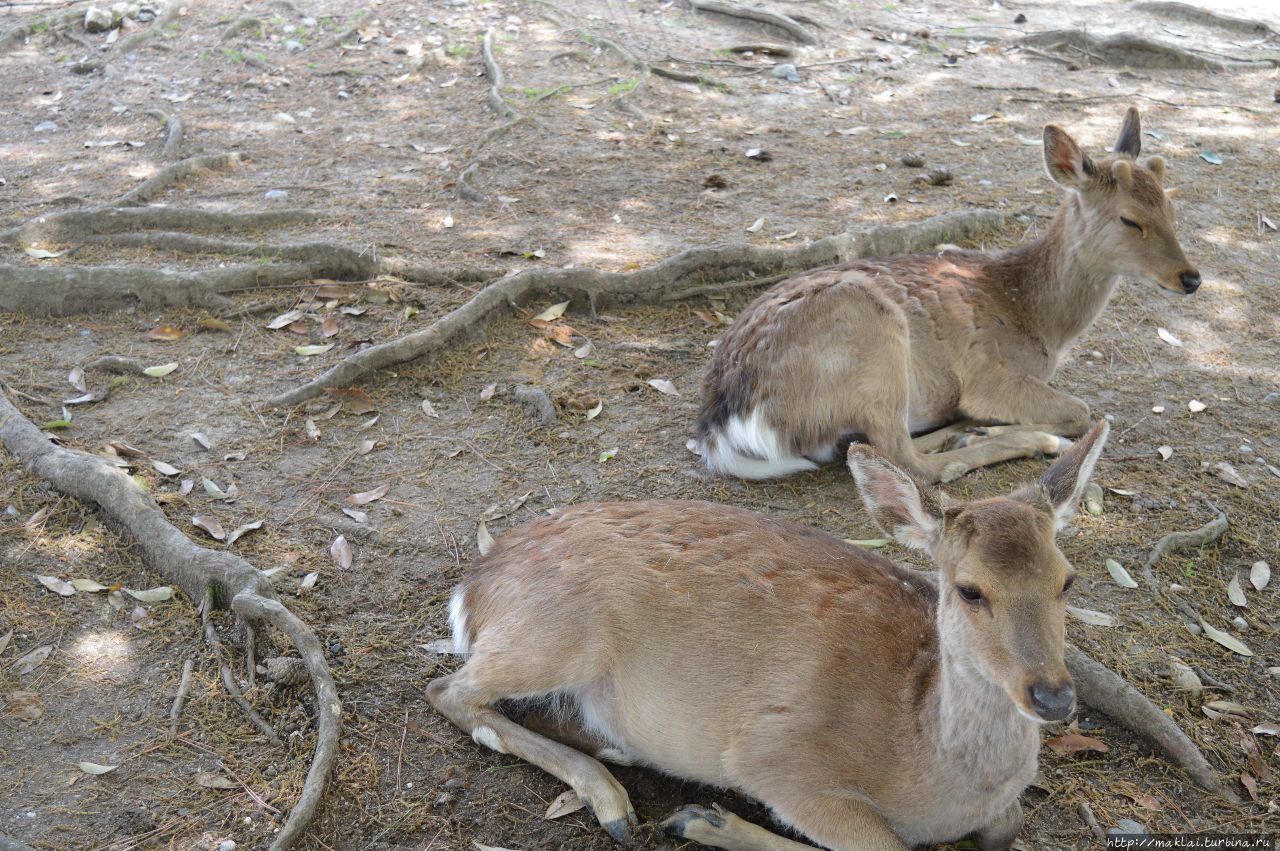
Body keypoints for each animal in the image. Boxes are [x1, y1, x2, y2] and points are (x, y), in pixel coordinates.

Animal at [427, 419, 1111, 849]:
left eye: (1068, 580)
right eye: (970, 589)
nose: (1054, 697)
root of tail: (476, 585)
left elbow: (1008, 826)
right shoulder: (779, 757)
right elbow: (883, 846)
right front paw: (704, 822)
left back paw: (615, 751)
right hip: (558, 634)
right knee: (449, 691)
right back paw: (613, 801)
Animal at [696, 106, 1192, 481]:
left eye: (1172, 207)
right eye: (1130, 219)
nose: (1191, 278)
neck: (1041, 323)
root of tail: (721, 431)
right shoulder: (990, 374)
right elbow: (1081, 410)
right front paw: (1011, 427)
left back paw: (965, 431)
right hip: (869, 334)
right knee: (904, 459)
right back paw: (1031, 440)